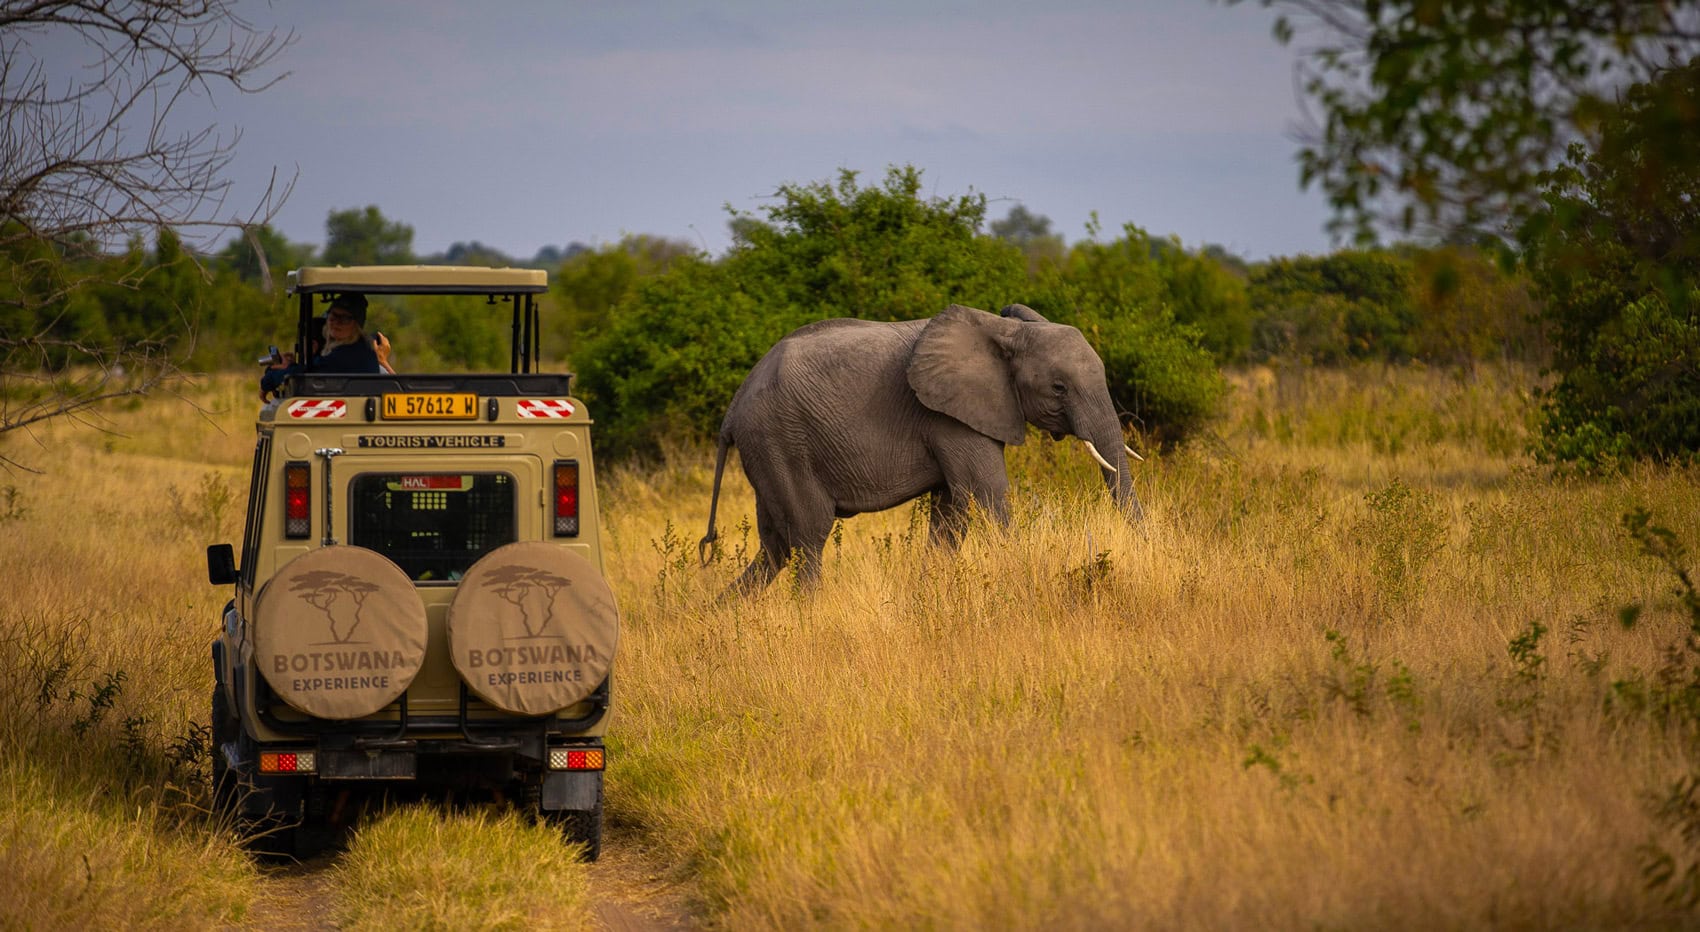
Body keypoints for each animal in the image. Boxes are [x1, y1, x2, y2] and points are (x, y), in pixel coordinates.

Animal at [699, 303, 1144, 593]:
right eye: (1058, 387)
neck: (1003, 332)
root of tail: (732, 409)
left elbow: (951, 511)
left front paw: (930, 594)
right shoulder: (947, 416)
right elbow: (987, 495)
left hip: (769, 450)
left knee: (776, 546)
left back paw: (719, 615)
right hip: (781, 442)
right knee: (807, 536)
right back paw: (809, 616)